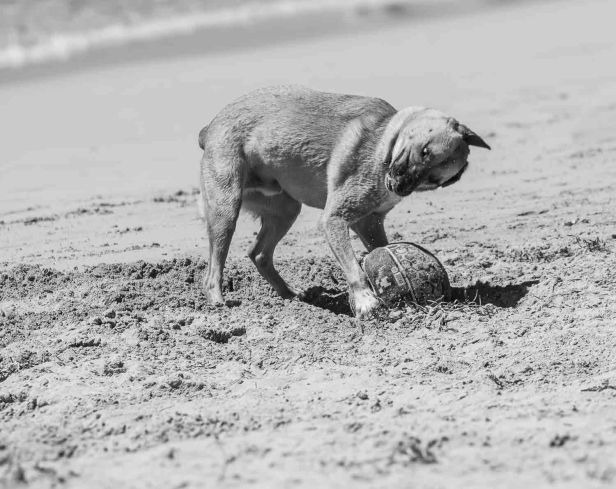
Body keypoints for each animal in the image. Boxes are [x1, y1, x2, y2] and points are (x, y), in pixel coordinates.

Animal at [198, 85, 490, 317]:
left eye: (434, 180)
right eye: (424, 150)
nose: (400, 187)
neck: (382, 141)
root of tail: (210, 126)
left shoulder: (369, 223)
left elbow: (378, 248)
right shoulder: (335, 220)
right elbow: (354, 268)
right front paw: (364, 299)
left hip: (286, 211)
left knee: (258, 254)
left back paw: (291, 296)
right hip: (226, 209)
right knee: (214, 269)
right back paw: (218, 302)